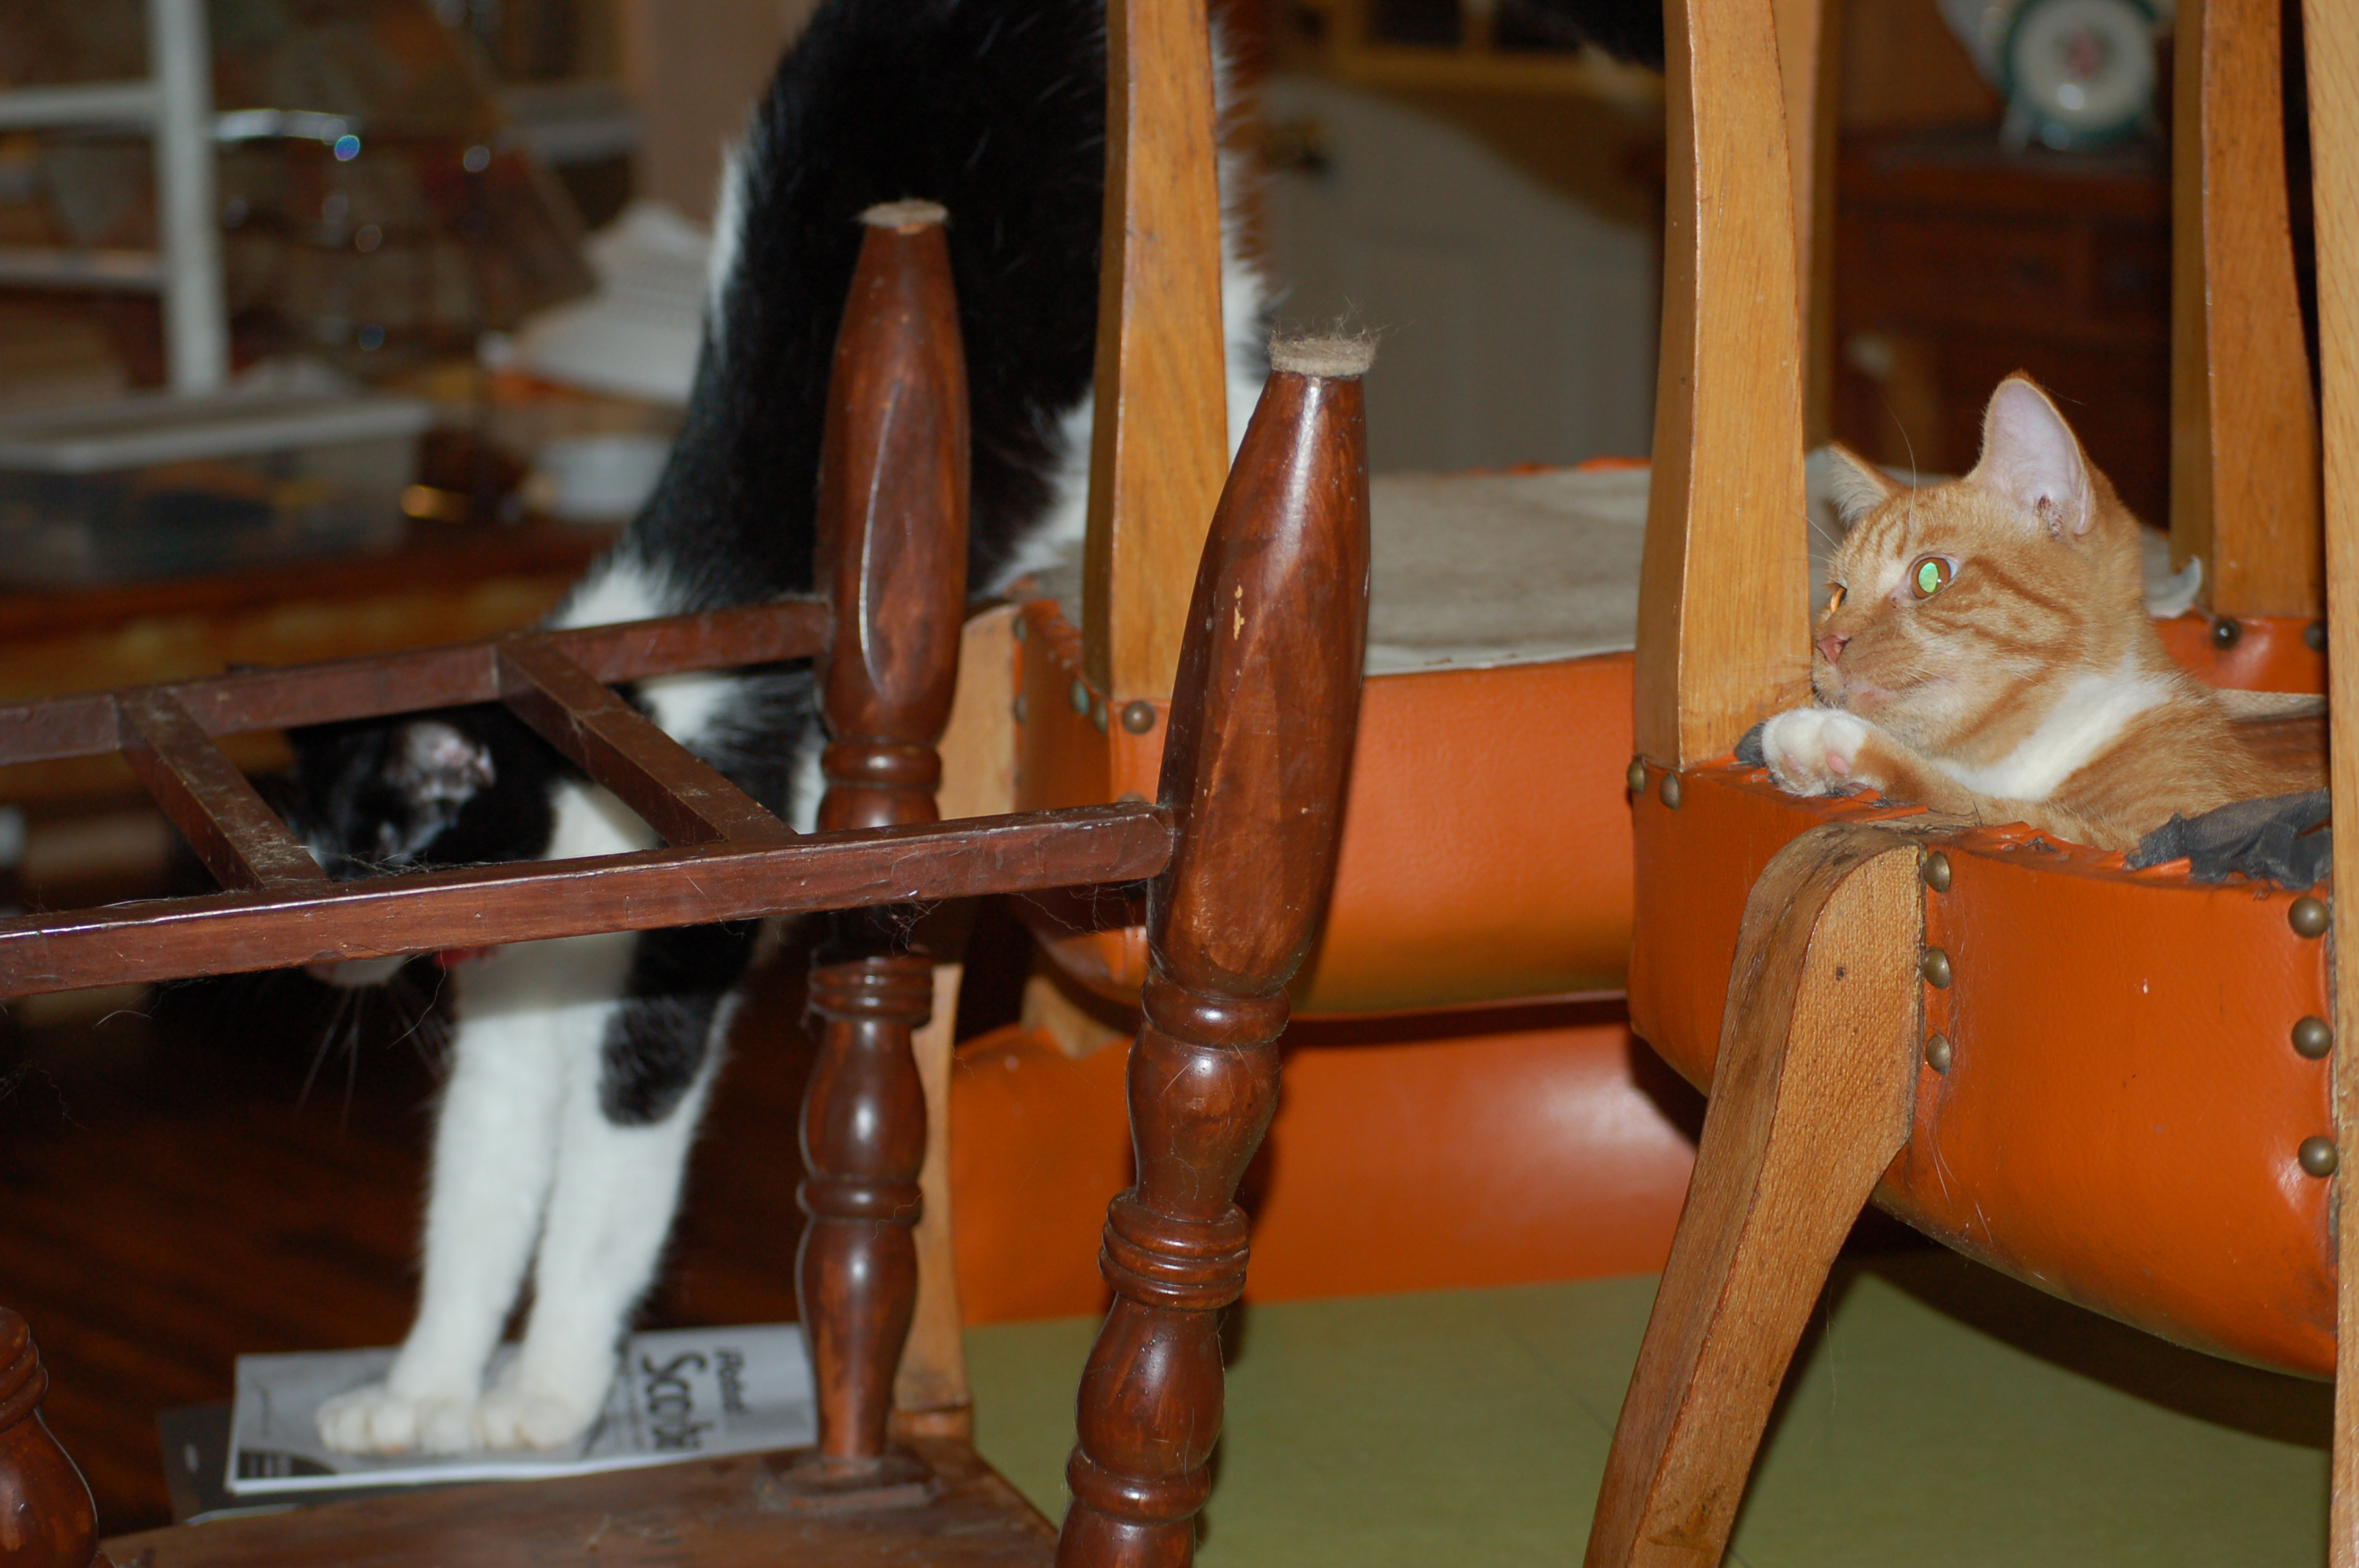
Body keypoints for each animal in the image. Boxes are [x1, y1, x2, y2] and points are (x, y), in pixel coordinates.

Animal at [1760, 374, 2317, 852]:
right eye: (1838, 596)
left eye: (1930, 577)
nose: (1827, 644)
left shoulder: (2161, 830)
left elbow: (1989, 808)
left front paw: (1833, 745)